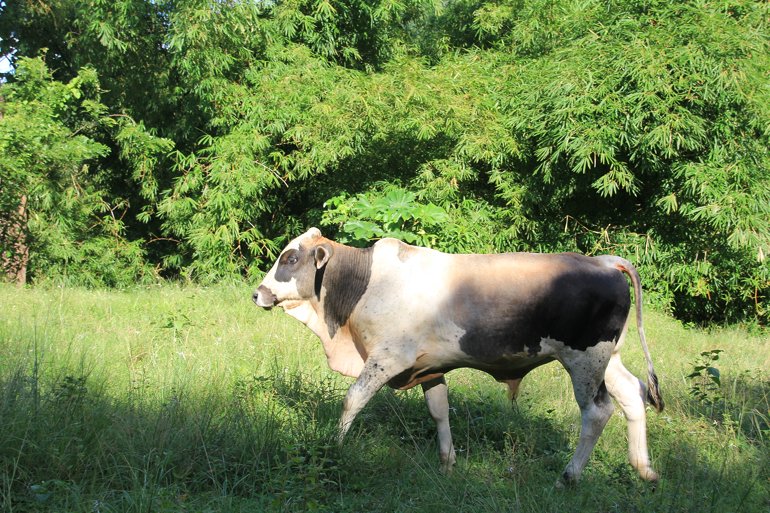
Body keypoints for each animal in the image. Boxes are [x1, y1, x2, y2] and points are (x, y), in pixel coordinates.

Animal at [253, 227, 664, 485]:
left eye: (290, 259)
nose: (258, 293)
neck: (364, 283)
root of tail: (605, 261)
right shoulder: (428, 367)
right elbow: (439, 411)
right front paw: (448, 463)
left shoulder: (386, 359)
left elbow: (352, 400)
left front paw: (332, 448)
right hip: (608, 358)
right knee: (633, 393)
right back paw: (643, 469)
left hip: (584, 359)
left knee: (597, 412)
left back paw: (570, 476)